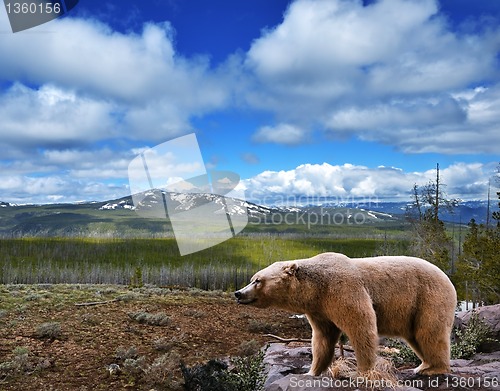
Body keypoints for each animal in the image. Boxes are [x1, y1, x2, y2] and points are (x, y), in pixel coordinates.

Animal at [234, 253, 458, 378]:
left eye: (257, 280)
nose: (238, 293)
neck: (316, 288)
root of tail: (447, 278)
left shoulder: (342, 289)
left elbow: (362, 326)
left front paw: (364, 371)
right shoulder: (319, 309)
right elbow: (322, 339)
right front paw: (312, 371)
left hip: (429, 297)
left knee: (429, 332)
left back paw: (433, 368)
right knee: (415, 337)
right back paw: (424, 365)